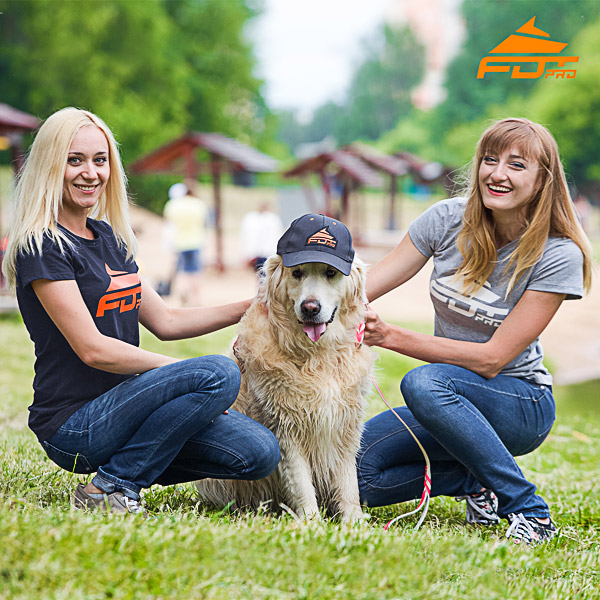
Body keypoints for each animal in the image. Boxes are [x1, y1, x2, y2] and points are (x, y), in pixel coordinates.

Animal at [197, 214, 376, 520]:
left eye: (330, 273)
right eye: (297, 273)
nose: (310, 307)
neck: (317, 356)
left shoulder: (345, 424)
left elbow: (347, 482)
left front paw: (353, 521)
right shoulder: (285, 428)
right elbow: (301, 482)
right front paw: (311, 522)